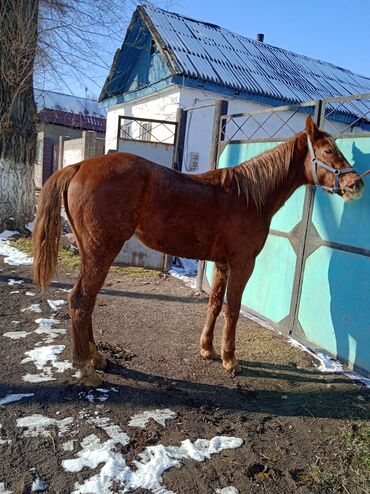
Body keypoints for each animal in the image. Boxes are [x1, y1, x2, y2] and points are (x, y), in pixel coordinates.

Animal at [33, 116, 362, 386]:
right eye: (329, 151)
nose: (356, 183)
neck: (248, 196)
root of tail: (79, 166)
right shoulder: (243, 263)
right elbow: (233, 308)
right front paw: (230, 360)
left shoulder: (221, 263)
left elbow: (214, 304)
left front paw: (207, 349)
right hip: (102, 250)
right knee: (81, 300)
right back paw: (85, 368)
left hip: (92, 252)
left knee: (87, 301)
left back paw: (96, 358)